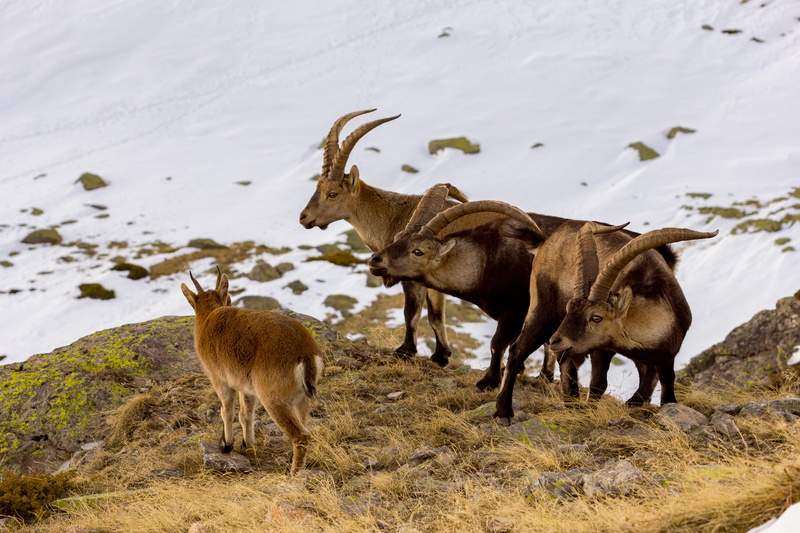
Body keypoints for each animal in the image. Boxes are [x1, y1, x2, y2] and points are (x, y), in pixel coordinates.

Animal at [181, 269, 324, 475]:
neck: (209, 318)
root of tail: (305, 354)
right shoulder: (246, 388)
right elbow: (246, 413)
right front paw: (247, 444)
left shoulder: (220, 380)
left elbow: (226, 410)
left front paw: (227, 444)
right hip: (300, 398)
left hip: (272, 398)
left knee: (301, 435)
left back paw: (294, 473)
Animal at [299, 109, 467, 367]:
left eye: (333, 193)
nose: (304, 217)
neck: (393, 215)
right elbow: (436, 315)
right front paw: (441, 355)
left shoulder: (411, 275)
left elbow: (412, 313)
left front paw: (406, 351)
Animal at [368, 184, 679, 394]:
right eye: (398, 237)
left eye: (417, 251)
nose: (375, 261)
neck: (486, 258)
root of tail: (666, 257)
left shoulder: (515, 312)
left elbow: (497, 344)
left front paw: (489, 381)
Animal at [493, 221, 717, 423]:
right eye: (569, 308)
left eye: (596, 317)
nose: (557, 340)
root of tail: (547, 242)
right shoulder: (601, 348)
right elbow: (599, 384)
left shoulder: (666, 355)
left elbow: (664, 388)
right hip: (543, 310)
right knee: (518, 350)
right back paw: (504, 411)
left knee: (564, 361)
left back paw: (570, 401)